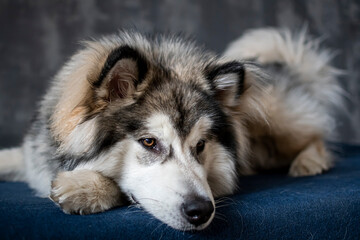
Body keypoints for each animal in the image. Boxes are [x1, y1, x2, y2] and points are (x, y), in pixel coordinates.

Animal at [0, 27, 342, 231]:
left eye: (200, 145)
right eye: (149, 142)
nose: (201, 211)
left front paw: (83, 188)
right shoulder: (30, 156)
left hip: (277, 122)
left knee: (318, 134)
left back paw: (311, 161)